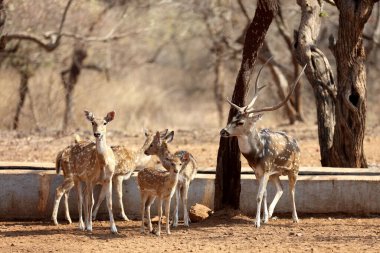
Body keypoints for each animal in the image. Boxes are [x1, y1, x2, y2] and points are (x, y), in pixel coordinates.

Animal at [220, 61, 306, 229]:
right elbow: (264, 193)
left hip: (294, 168)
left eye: (240, 122)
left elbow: (259, 196)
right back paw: (270, 215)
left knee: (292, 190)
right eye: (232, 118)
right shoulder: (258, 171)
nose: (223, 131)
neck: (256, 153)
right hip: (276, 173)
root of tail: (296, 142)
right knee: (281, 188)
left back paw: (295, 218)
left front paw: (257, 222)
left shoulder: (265, 169)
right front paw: (264, 218)